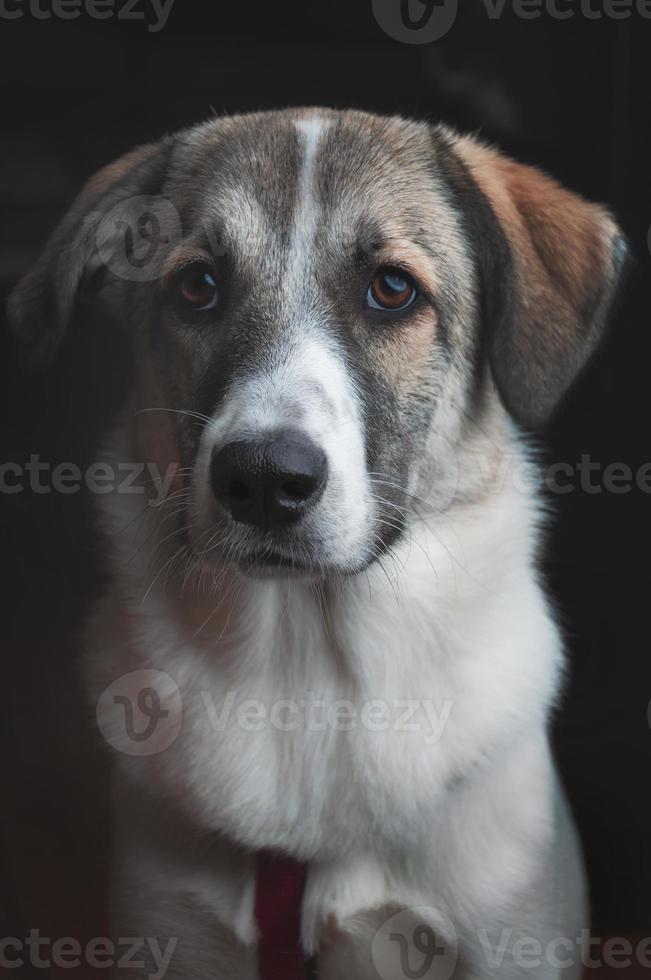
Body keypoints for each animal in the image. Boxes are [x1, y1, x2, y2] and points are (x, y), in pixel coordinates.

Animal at [6, 107, 628, 980]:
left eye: (391, 290)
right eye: (197, 286)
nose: (265, 479)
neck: (310, 668)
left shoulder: (510, 941)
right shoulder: (170, 932)